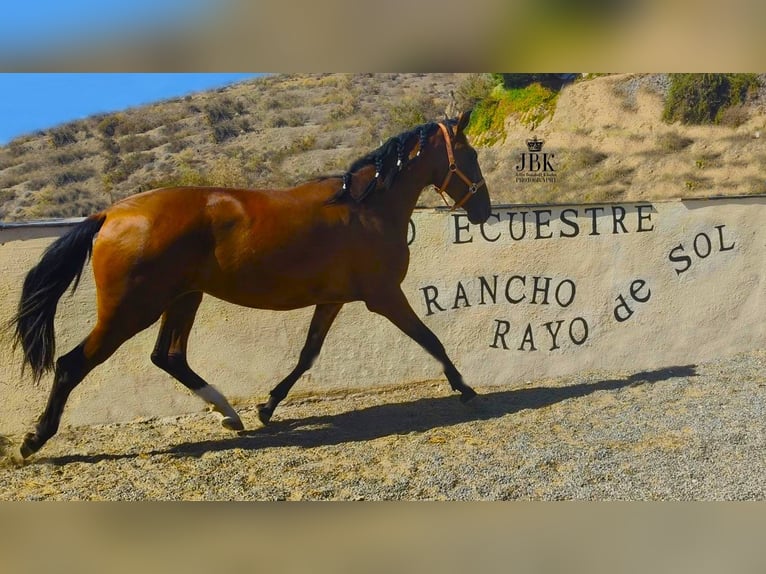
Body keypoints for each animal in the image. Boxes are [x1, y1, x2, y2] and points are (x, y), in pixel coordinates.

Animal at [7, 111, 492, 464]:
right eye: (469, 156)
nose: (484, 211)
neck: (367, 207)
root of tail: (110, 214)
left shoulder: (333, 299)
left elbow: (308, 354)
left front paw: (267, 407)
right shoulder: (385, 296)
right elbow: (430, 338)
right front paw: (466, 389)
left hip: (183, 298)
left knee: (169, 356)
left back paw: (231, 415)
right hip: (131, 309)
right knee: (72, 364)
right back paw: (33, 442)